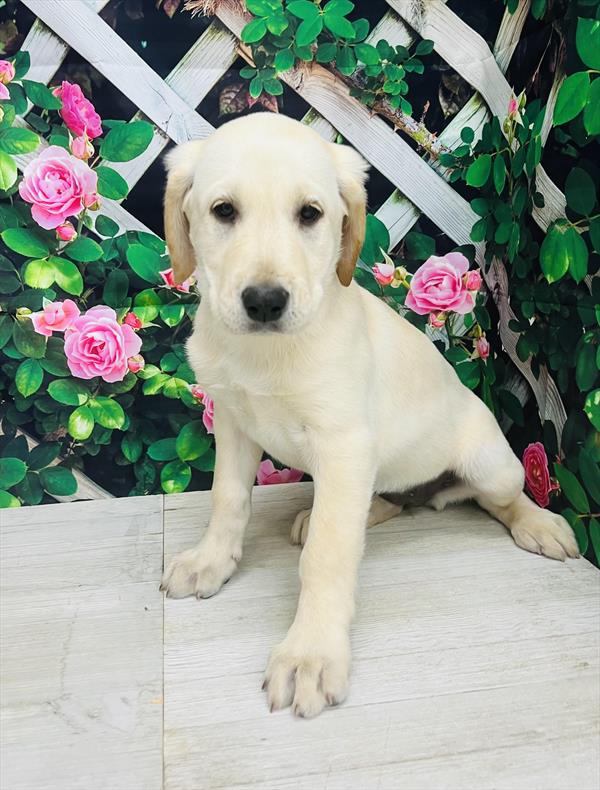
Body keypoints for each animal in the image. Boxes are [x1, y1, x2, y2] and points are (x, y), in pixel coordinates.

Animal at [158, 113, 576, 724]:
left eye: (310, 214)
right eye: (224, 211)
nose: (264, 302)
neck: (266, 354)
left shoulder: (344, 443)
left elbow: (328, 555)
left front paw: (310, 652)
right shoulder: (234, 422)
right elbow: (228, 500)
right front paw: (212, 561)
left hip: (493, 465)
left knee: (497, 499)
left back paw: (538, 524)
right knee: (393, 500)